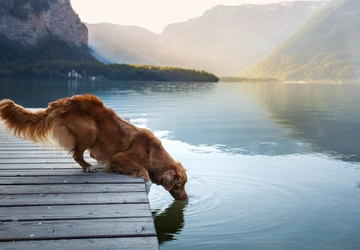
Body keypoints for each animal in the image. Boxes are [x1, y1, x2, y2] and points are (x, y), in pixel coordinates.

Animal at [0, 94, 190, 200]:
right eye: (179, 185)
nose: (187, 199)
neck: (152, 151)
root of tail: (63, 102)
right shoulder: (121, 157)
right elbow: (143, 171)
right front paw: (147, 185)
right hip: (89, 130)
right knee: (76, 155)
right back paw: (88, 167)